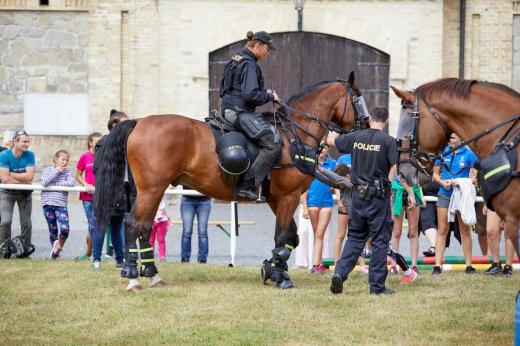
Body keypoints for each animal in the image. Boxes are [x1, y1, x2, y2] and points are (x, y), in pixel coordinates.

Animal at [91, 73, 364, 292]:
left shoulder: (276, 199)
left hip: (152, 191)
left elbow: (291, 237)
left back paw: (151, 275)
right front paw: (281, 276)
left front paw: (271, 268)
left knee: (145, 226)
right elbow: (282, 236)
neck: (292, 137)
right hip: (152, 189)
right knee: (132, 224)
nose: (367, 124)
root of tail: (139, 121)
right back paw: (132, 277)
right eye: (358, 99)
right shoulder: (289, 196)